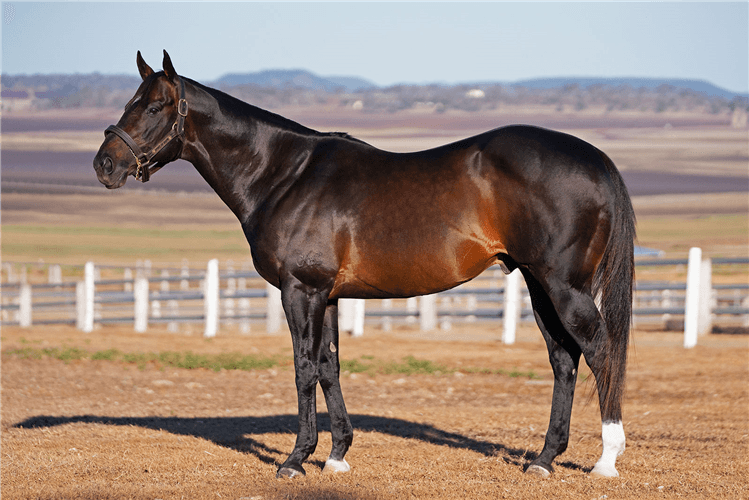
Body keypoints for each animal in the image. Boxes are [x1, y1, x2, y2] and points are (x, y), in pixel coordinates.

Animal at [90, 51, 636, 480]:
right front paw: (336, 456)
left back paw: (605, 460)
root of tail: (596, 159)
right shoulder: (328, 295)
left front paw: (295, 459)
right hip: (539, 285)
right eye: (129, 102)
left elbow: (304, 368)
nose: (104, 165)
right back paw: (544, 459)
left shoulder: (300, 290)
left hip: (563, 286)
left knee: (601, 350)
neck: (284, 174)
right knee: (564, 359)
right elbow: (330, 366)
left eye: (154, 106)